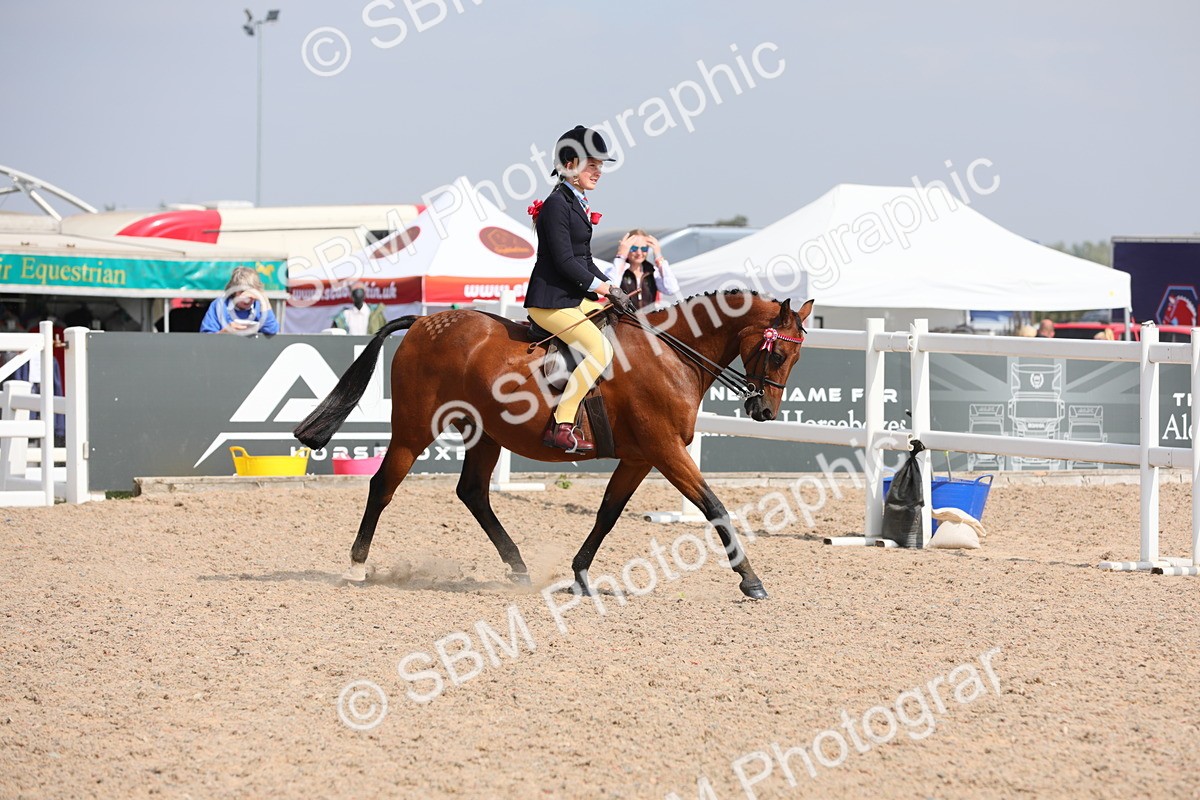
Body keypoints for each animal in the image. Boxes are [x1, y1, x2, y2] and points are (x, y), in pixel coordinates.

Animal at [294, 291, 814, 599]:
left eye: (796, 357)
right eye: (778, 353)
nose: (764, 412)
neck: (669, 353)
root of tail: (425, 323)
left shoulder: (639, 457)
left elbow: (607, 513)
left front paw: (581, 575)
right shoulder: (666, 451)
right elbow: (714, 507)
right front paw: (751, 580)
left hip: (485, 434)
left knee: (473, 493)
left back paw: (519, 567)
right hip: (414, 428)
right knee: (383, 485)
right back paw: (357, 566)